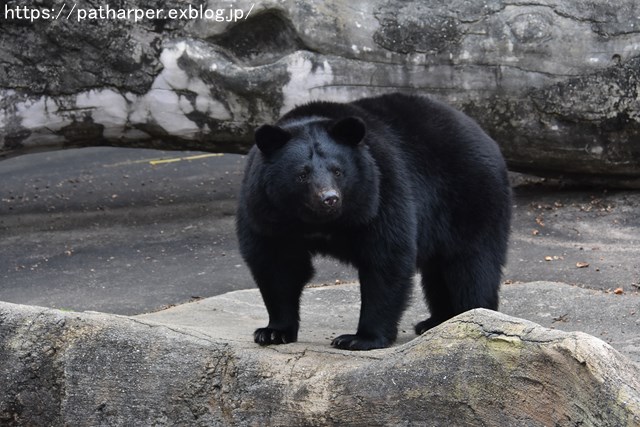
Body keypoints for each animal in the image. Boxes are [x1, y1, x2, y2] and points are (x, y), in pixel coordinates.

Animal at [235, 93, 510, 352]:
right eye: (302, 174)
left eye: (338, 171)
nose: (329, 199)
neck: (318, 223)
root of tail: (486, 137)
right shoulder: (266, 212)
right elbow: (277, 264)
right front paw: (273, 332)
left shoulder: (379, 192)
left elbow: (386, 259)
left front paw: (358, 338)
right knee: (438, 269)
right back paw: (436, 321)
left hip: (471, 198)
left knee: (471, 264)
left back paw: (472, 314)